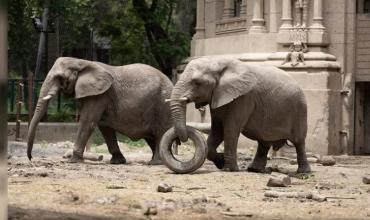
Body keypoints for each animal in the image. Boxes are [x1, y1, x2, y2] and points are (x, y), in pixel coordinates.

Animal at [27, 57, 173, 164]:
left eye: (59, 78)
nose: (31, 158)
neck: (81, 62)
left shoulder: (100, 95)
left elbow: (88, 122)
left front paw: (74, 161)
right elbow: (104, 127)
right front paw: (117, 162)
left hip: (163, 105)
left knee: (160, 133)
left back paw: (155, 163)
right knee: (151, 136)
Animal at [169, 56, 310, 174]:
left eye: (197, 82)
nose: (180, 139)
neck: (218, 61)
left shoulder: (244, 98)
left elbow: (230, 129)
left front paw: (228, 169)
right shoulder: (218, 95)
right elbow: (217, 130)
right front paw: (221, 162)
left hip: (300, 110)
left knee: (299, 141)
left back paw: (303, 173)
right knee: (264, 141)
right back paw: (254, 170)